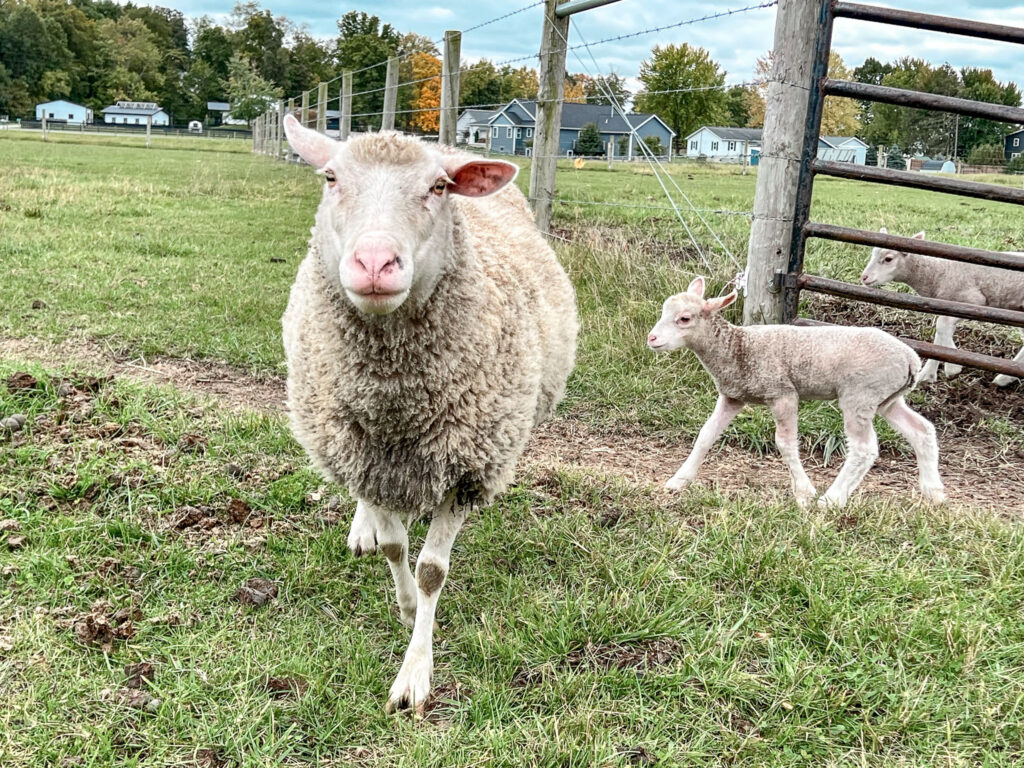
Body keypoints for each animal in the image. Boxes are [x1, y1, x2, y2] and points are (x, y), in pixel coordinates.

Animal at [279, 115, 577, 715]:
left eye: (439, 188)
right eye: (330, 178)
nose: (374, 263)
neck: (396, 406)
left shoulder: (468, 469)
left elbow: (432, 571)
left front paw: (416, 670)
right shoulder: (360, 455)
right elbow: (396, 547)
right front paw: (404, 604)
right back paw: (363, 530)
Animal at [647, 277, 945, 509]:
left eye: (684, 319)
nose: (651, 338)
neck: (739, 348)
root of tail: (911, 359)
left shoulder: (783, 394)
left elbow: (785, 443)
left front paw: (804, 493)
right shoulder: (732, 396)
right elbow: (706, 435)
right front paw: (679, 480)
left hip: (860, 394)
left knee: (864, 449)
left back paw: (832, 499)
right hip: (887, 399)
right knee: (921, 430)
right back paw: (934, 493)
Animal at [860, 228, 1024, 386]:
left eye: (888, 259)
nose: (864, 277)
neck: (938, 272)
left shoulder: (973, 301)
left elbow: (942, 326)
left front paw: (953, 368)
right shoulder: (945, 305)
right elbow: (940, 336)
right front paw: (928, 374)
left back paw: (1004, 377)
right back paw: (1005, 378)